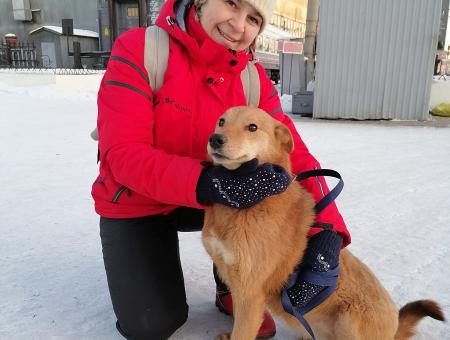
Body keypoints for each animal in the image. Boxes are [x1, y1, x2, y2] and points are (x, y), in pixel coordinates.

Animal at [202, 106, 444, 340]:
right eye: (221, 121)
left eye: (252, 127)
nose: (215, 139)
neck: (250, 201)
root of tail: (394, 329)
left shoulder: (249, 294)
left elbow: (241, 333)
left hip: (349, 321)